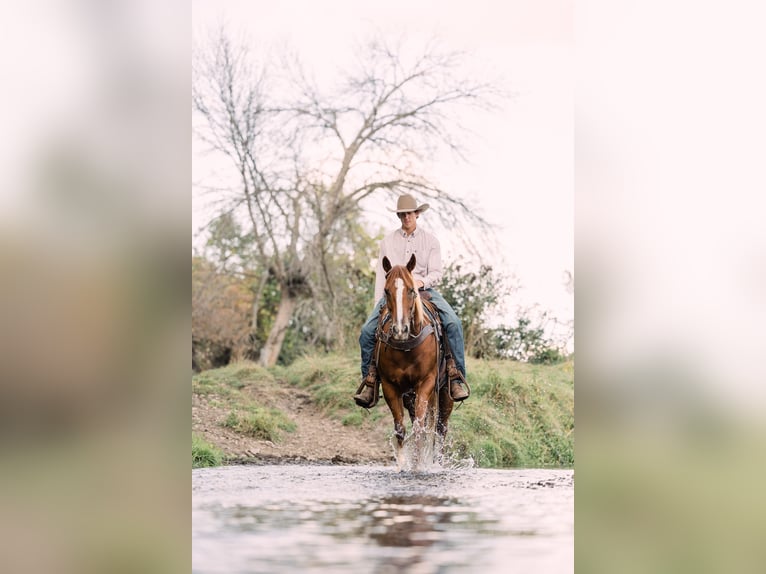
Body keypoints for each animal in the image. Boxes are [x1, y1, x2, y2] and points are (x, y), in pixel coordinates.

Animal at [374, 254, 454, 470]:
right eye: (386, 290)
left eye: (411, 290)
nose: (400, 330)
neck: (407, 348)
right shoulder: (390, 387)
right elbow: (400, 428)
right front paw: (404, 465)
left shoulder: (426, 383)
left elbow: (420, 428)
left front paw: (419, 466)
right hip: (409, 396)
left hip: (445, 394)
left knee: (440, 429)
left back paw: (436, 463)